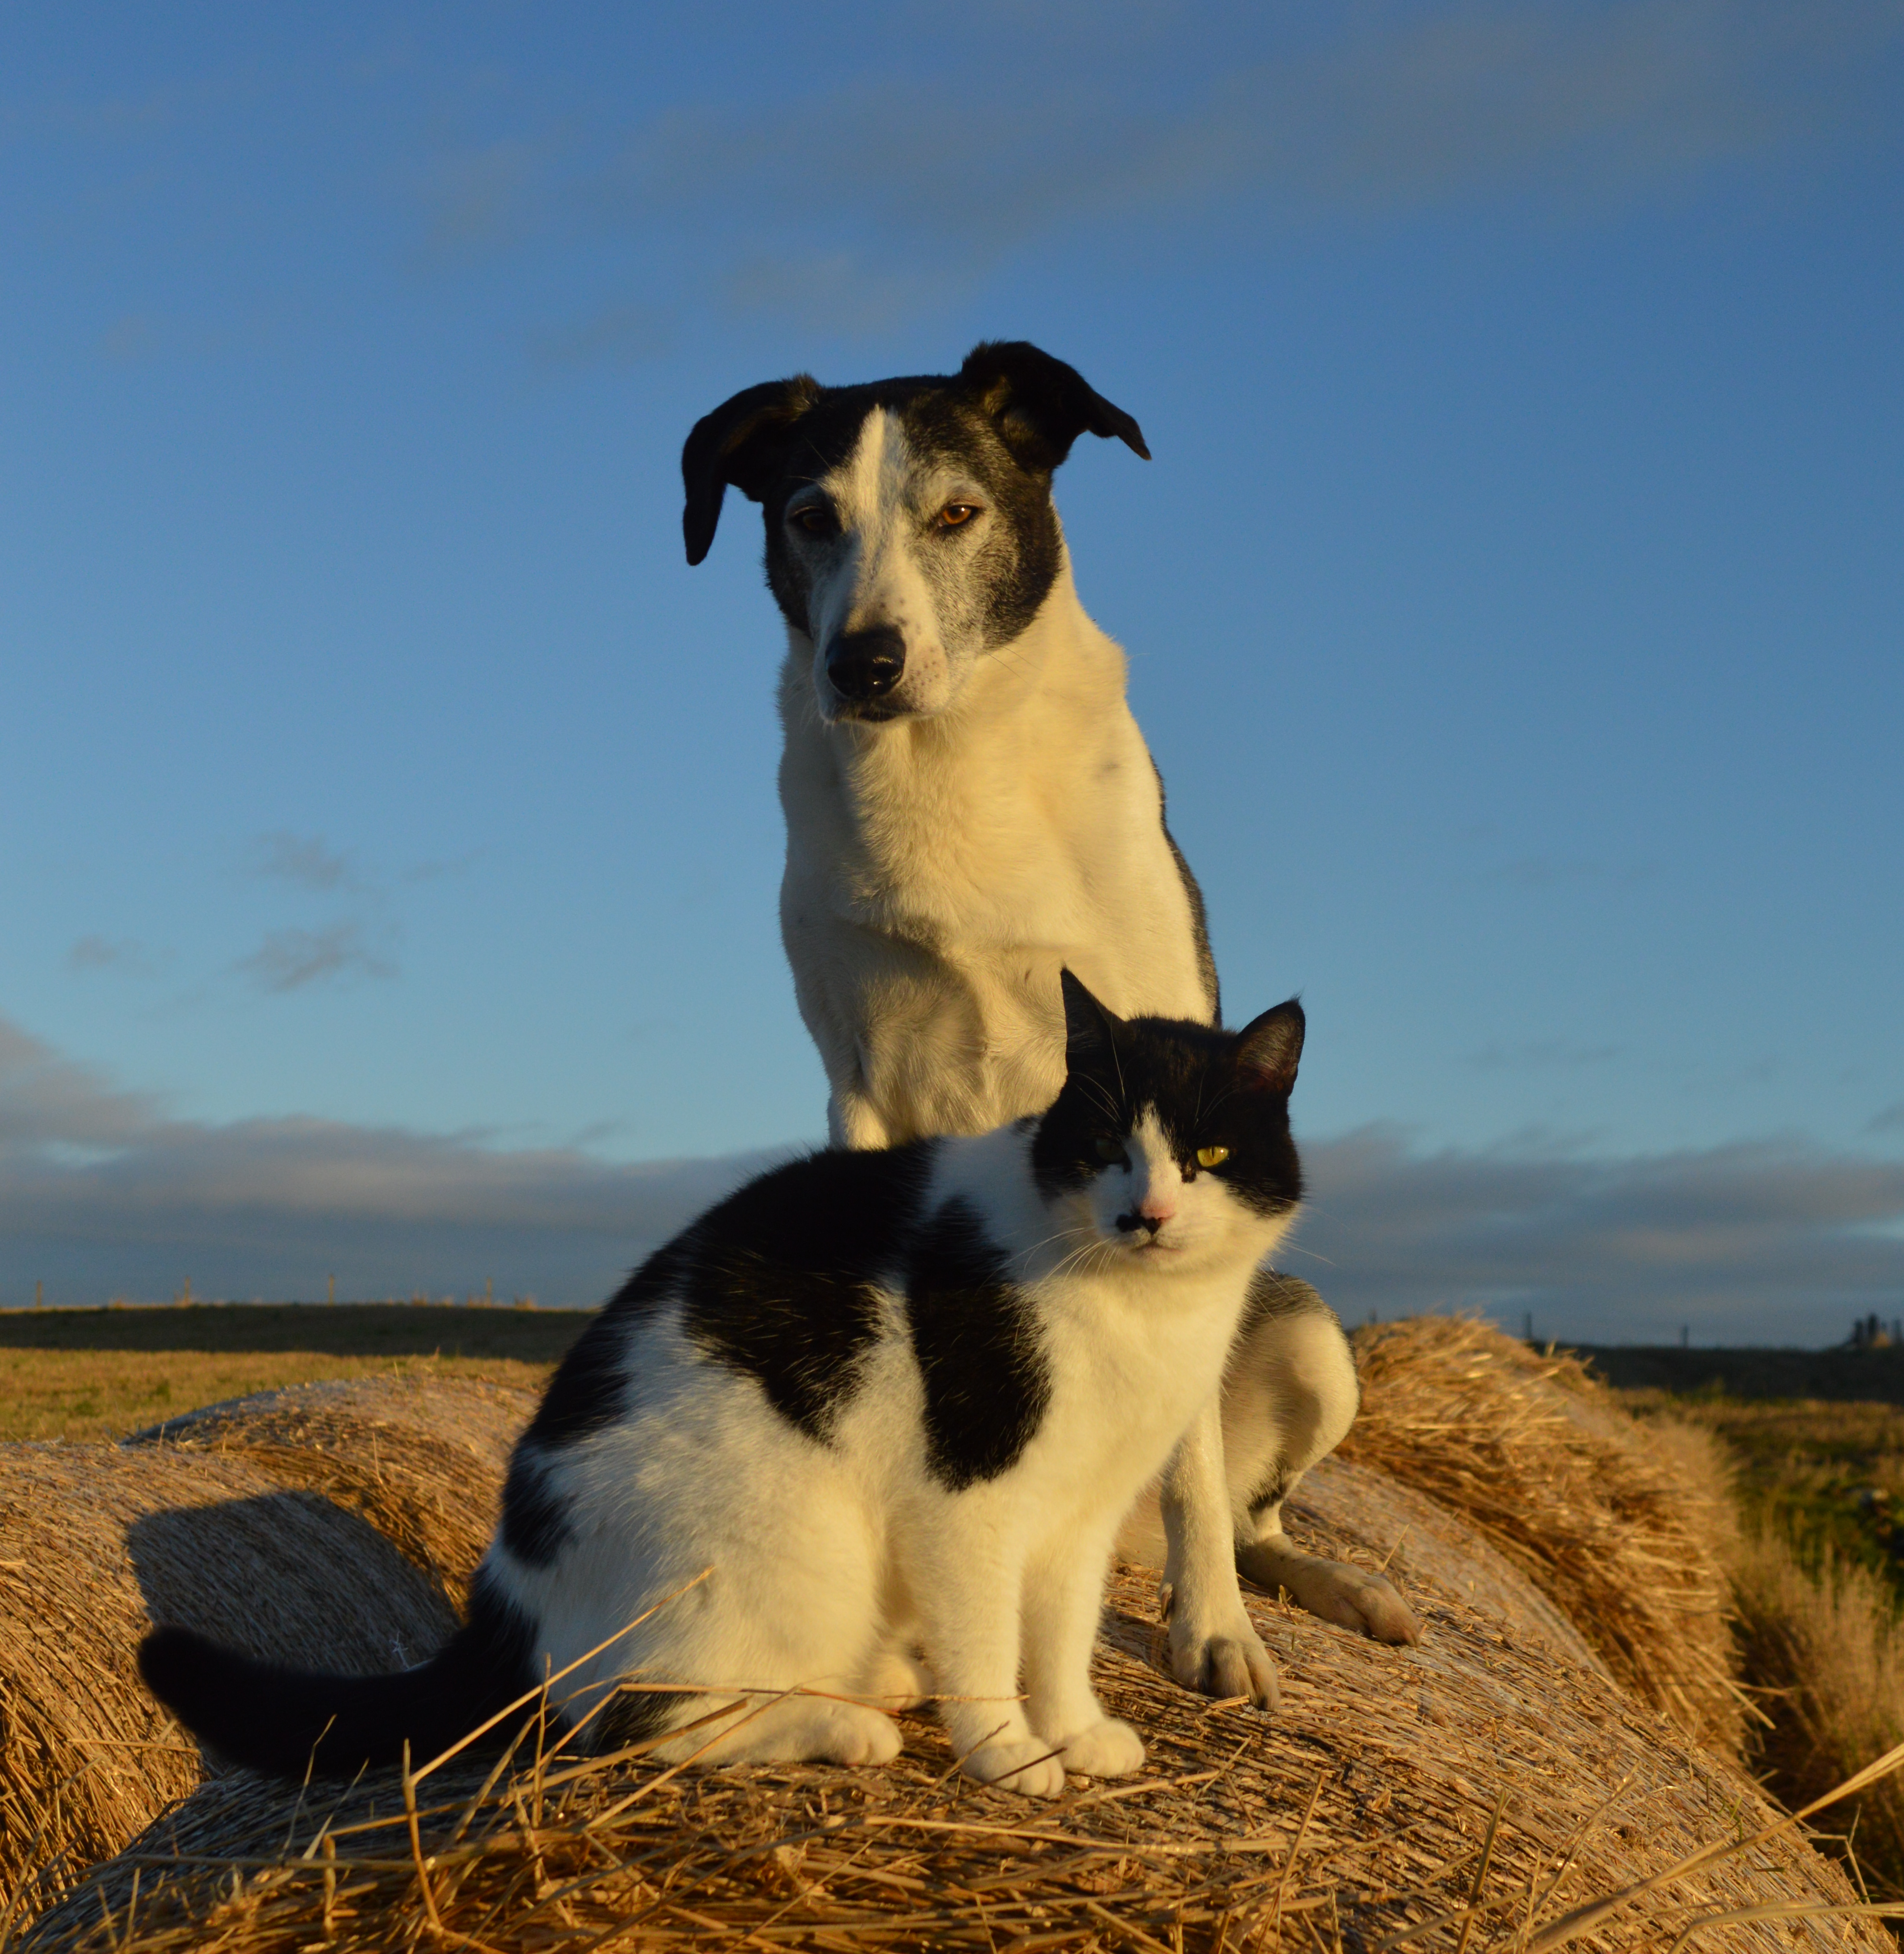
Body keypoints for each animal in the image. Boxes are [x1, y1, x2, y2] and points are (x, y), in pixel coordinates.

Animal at [142, 977, 1312, 1798]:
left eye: (1207, 1154)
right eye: (1107, 1145)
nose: (1146, 1214)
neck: (1137, 1309)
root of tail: (507, 1591)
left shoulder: (1079, 1511)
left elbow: (1060, 1636)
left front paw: (1070, 1729)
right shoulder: (969, 1498)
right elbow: (987, 1642)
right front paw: (1009, 1755)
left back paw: (873, 1681)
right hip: (788, 1542)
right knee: (630, 1720)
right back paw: (845, 1723)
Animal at [683, 343, 1414, 1704]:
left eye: (956, 513)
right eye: (809, 517)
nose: (862, 663)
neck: (946, 762)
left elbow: (1193, 1470)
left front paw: (1212, 1636)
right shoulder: (858, 1082)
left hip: (1307, 1341)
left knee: (1250, 1515)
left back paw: (1333, 1591)